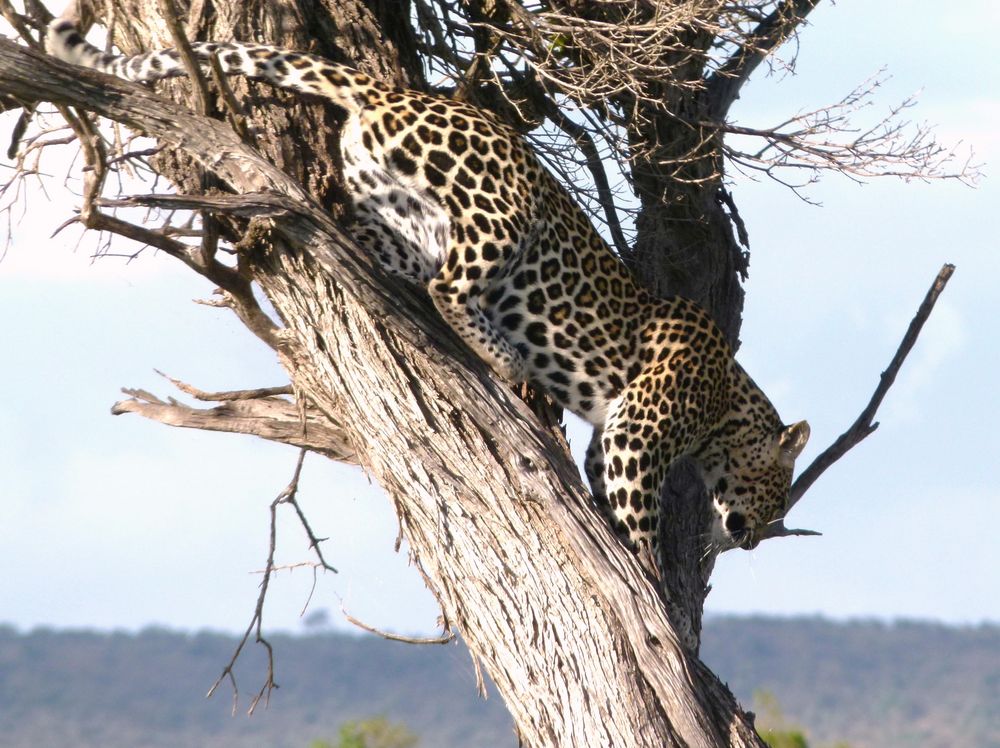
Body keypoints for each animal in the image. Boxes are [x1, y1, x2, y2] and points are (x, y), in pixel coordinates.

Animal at [47, 19, 812, 568]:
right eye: (776, 495)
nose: (753, 537)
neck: (726, 405)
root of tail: (398, 93)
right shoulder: (637, 432)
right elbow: (639, 518)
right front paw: (652, 580)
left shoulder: (611, 437)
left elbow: (611, 494)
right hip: (502, 213)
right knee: (451, 286)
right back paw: (504, 357)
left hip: (402, 216)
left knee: (354, 231)